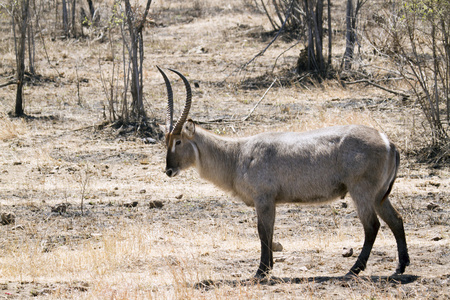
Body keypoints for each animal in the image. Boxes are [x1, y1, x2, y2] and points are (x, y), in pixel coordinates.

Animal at [156, 67, 410, 278]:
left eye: (178, 141)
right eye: (165, 140)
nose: (168, 170)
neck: (236, 154)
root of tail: (389, 142)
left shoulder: (264, 200)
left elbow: (262, 232)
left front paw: (261, 271)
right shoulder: (270, 202)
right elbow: (269, 232)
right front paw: (268, 268)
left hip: (362, 193)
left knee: (372, 226)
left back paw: (354, 269)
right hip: (379, 196)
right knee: (396, 220)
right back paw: (400, 266)